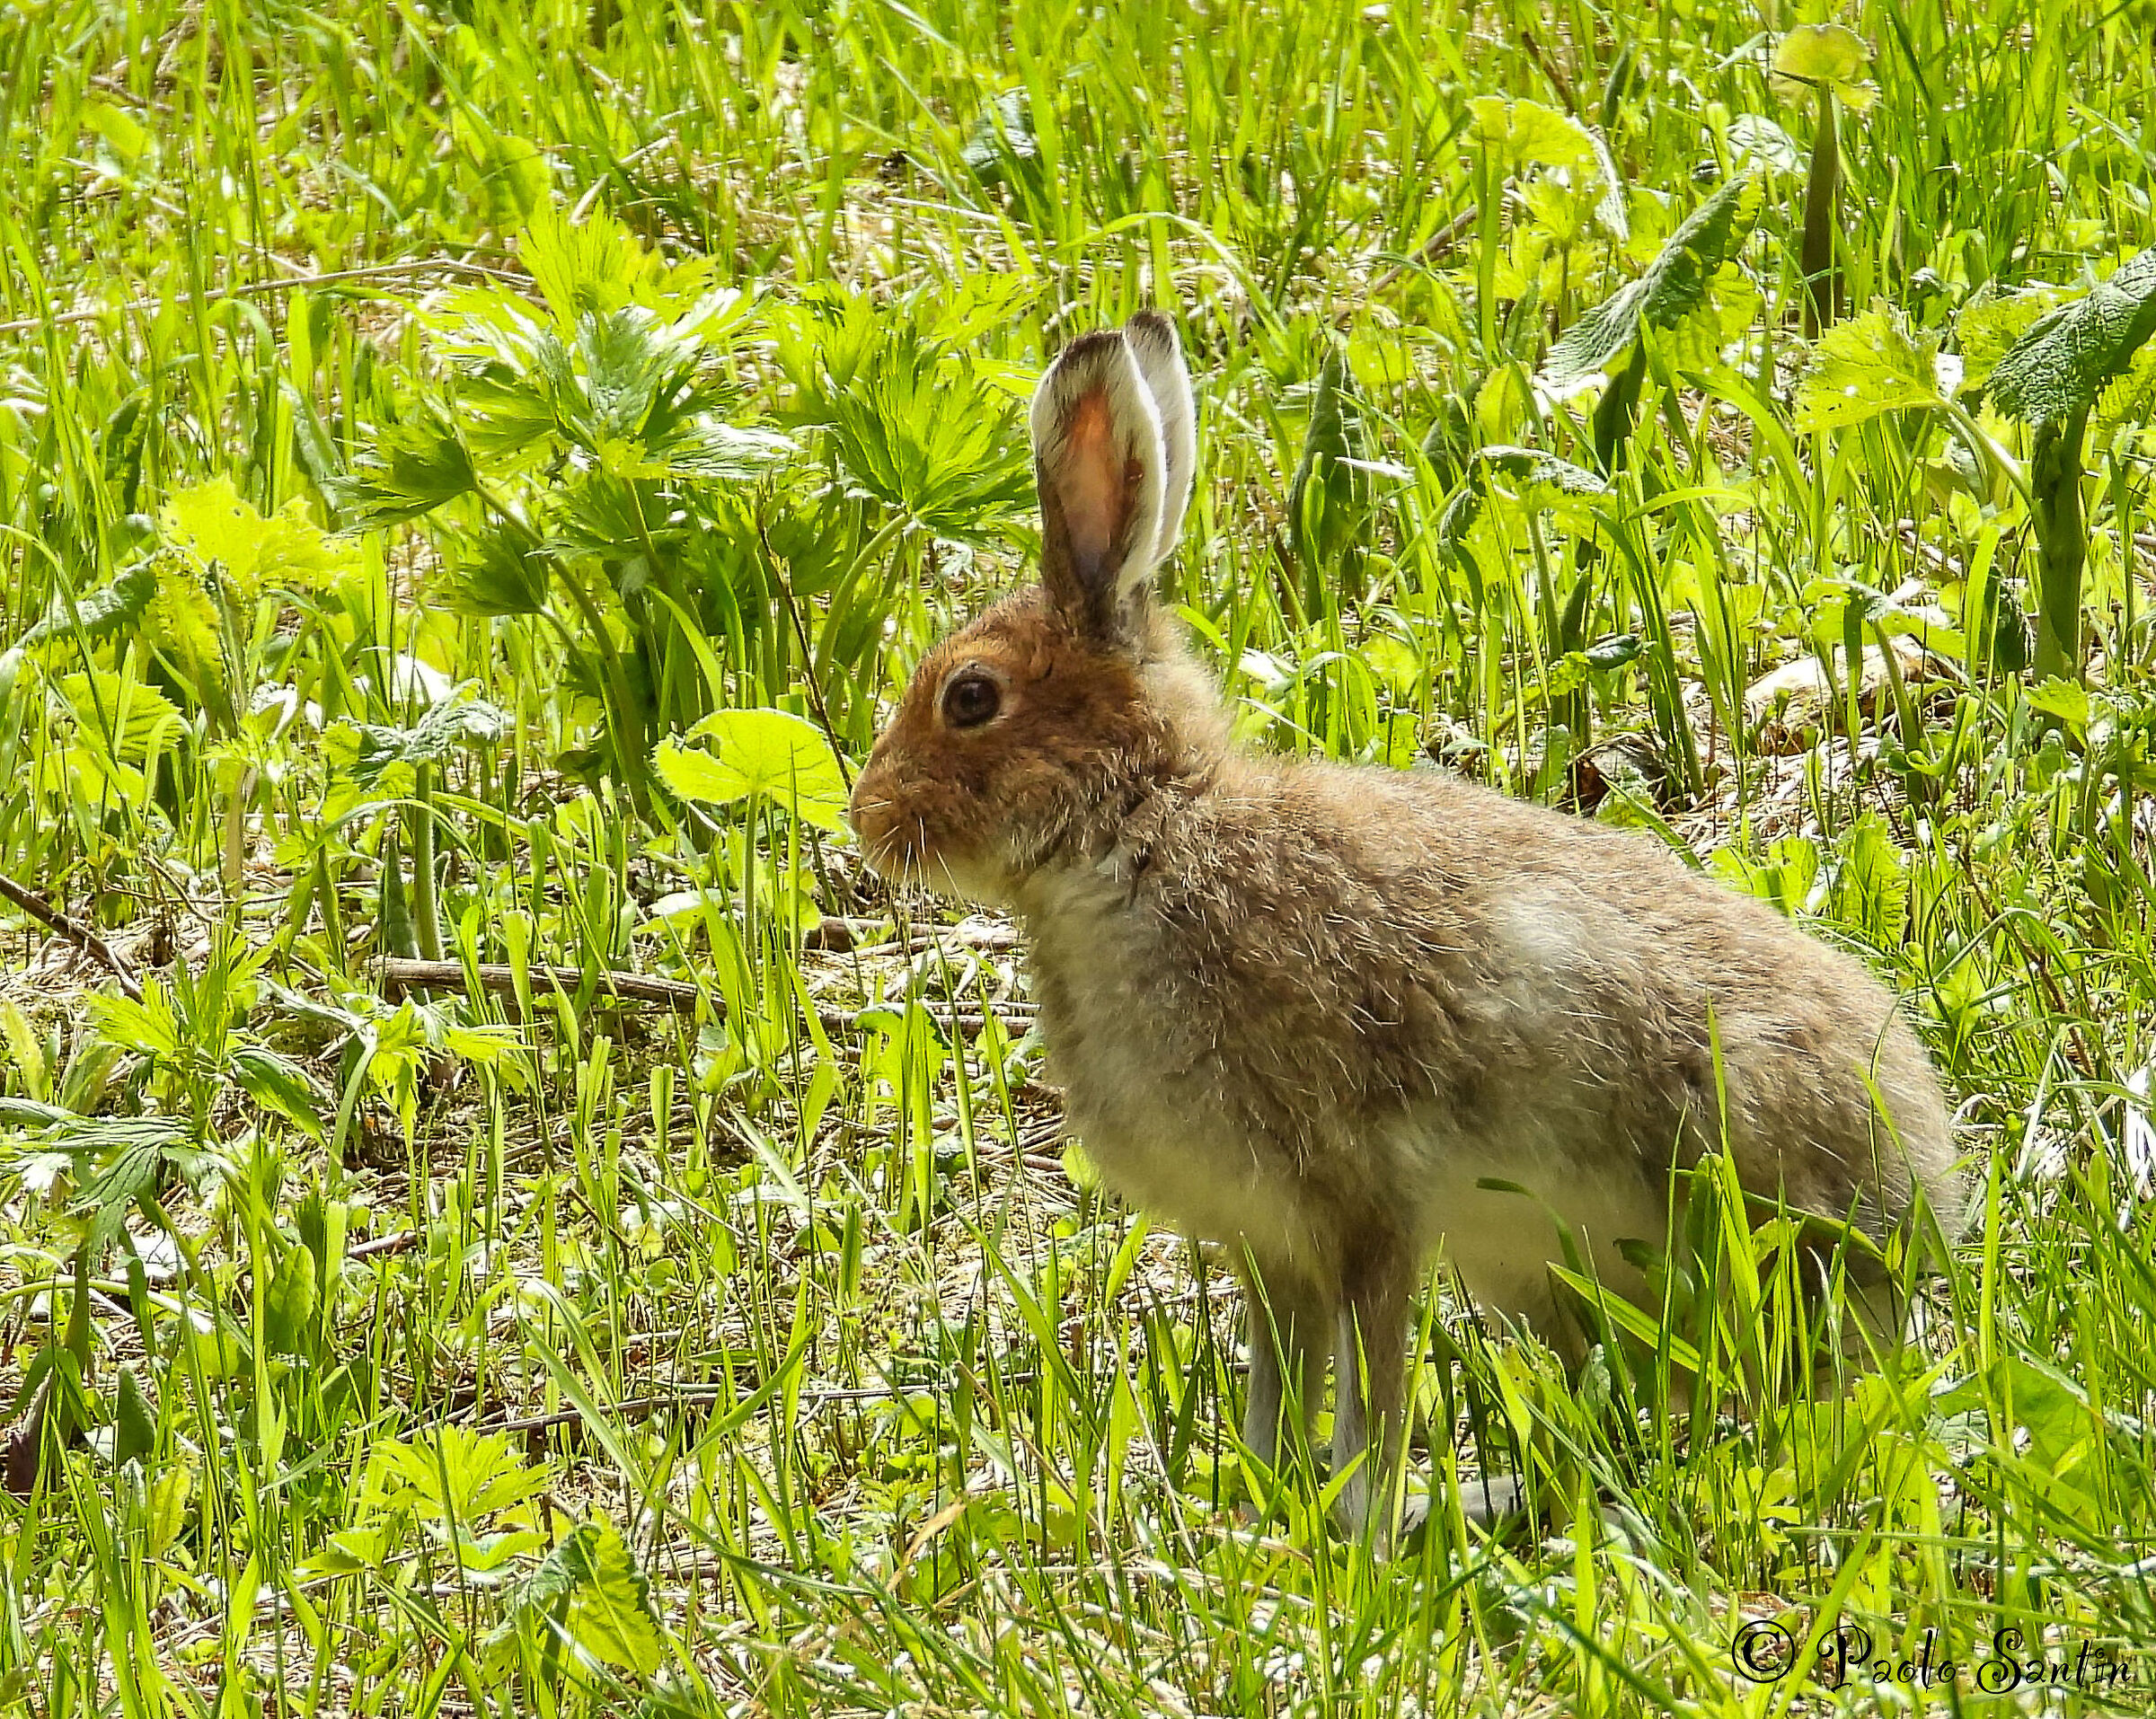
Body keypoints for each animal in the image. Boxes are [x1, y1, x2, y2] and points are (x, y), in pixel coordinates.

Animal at [847, 310, 1965, 1553]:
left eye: (971, 698)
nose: (867, 819)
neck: (1140, 830)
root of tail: (1923, 1204)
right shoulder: (1269, 1245)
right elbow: (1278, 1390)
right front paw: (1266, 1515)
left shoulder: (1368, 1211)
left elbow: (1371, 1393)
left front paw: (1359, 1531)